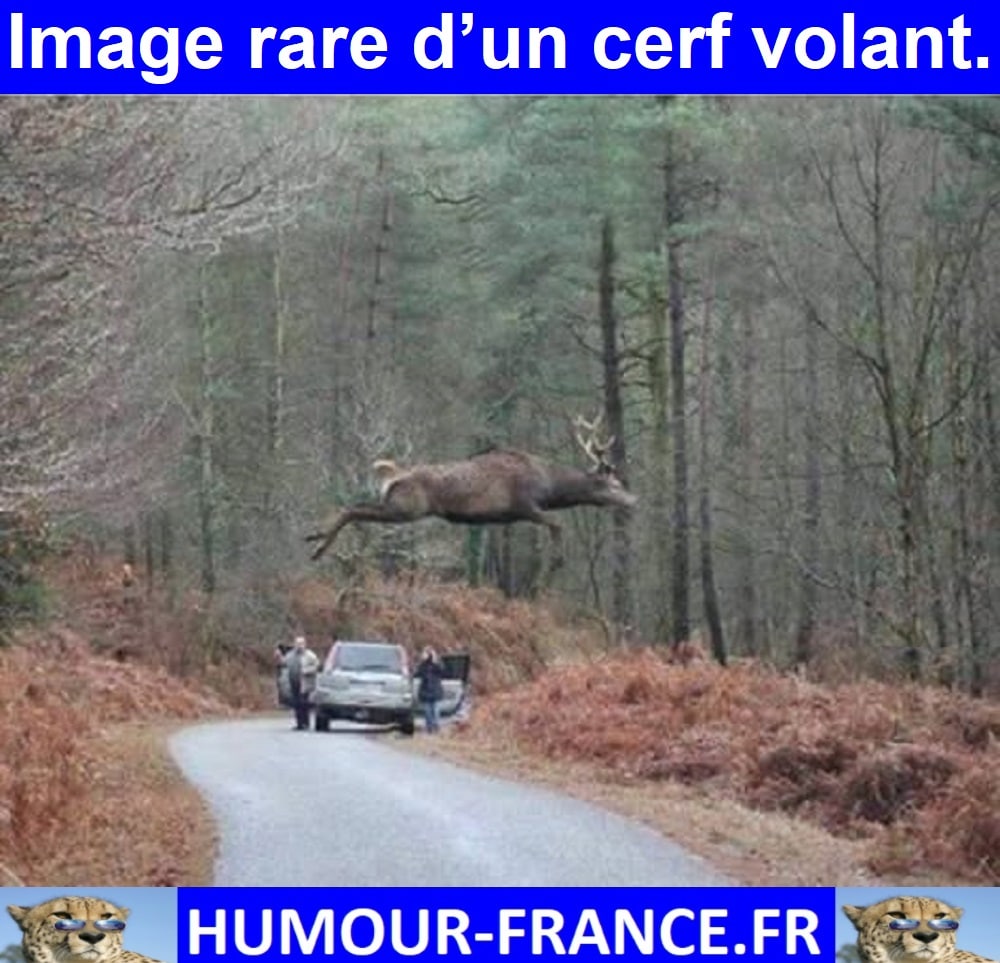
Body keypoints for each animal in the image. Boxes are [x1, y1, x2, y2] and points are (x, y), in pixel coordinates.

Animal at [304, 414, 638, 568]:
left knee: (353, 505)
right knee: (353, 510)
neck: (548, 484)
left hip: (395, 505)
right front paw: (557, 561)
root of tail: (392, 475)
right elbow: (557, 523)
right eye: (613, 484)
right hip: (406, 508)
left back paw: (314, 537)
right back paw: (318, 547)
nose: (634, 500)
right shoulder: (523, 504)